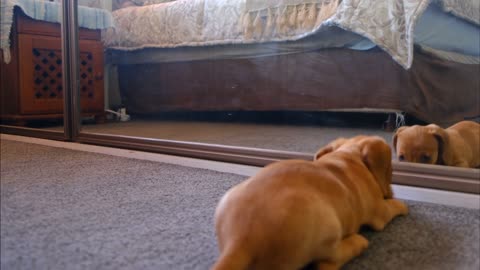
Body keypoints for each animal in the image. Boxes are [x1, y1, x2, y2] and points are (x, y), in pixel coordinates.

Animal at [212, 136, 406, 270]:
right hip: (330, 229)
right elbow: (392, 207)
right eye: (391, 170)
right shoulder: (380, 211)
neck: (348, 156)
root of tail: (239, 242)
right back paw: (358, 242)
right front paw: (402, 205)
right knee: (327, 263)